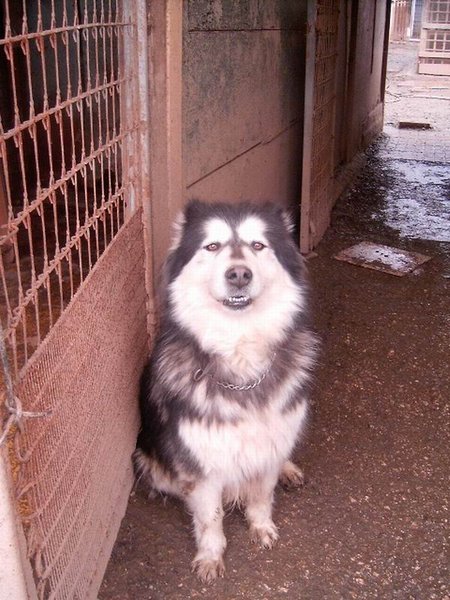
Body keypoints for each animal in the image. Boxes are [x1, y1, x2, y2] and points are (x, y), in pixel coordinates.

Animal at [133, 200, 316, 580]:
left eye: (258, 245)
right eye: (212, 246)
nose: (239, 274)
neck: (240, 355)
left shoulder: (268, 443)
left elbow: (261, 495)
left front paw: (261, 526)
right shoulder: (202, 464)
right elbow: (209, 517)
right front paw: (210, 555)